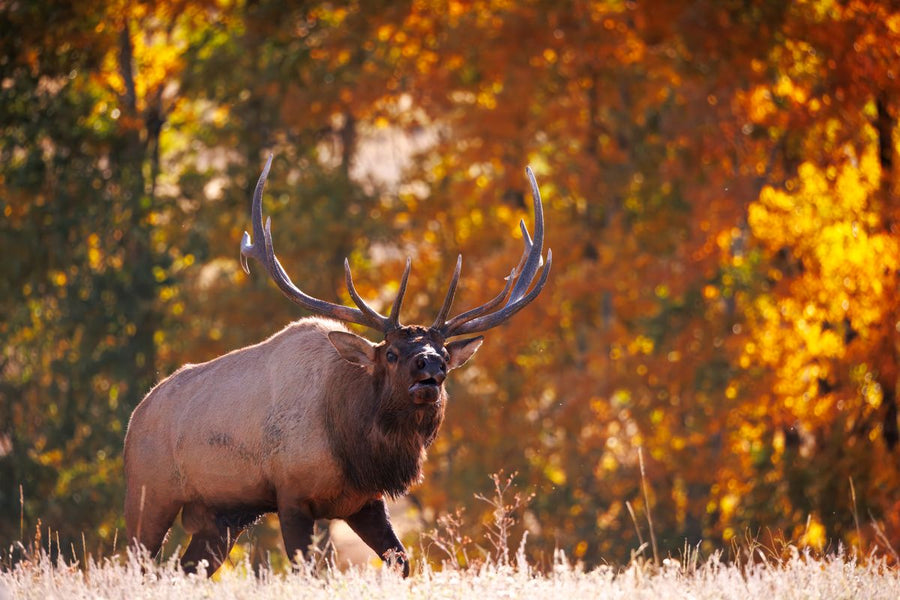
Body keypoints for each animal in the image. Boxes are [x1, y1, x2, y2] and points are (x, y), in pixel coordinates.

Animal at [123, 156, 551, 577]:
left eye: (445, 356)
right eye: (390, 354)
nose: (430, 365)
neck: (353, 445)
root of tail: (136, 415)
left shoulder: (364, 502)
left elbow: (402, 562)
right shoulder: (291, 494)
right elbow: (305, 570)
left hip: (221, 516)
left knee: (184, 568)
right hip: (149, 495)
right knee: (136, 563)